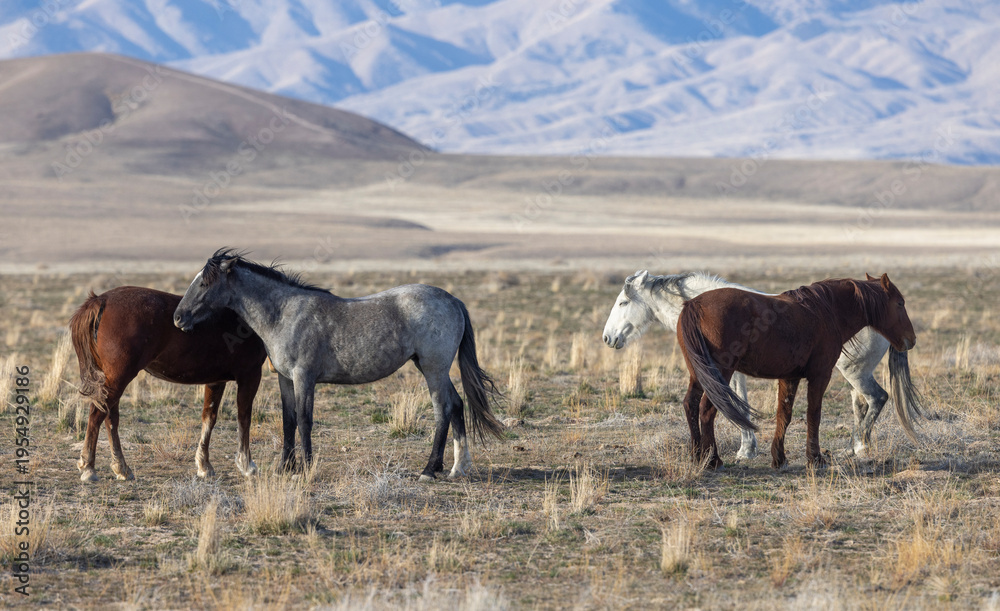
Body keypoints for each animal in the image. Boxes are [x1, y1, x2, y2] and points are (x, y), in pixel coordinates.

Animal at [70, 286, 268, 482]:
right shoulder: (250, 375)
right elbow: (244, 418)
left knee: (110, 419)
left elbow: (209, 418)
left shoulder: (216, 381)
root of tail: (101, 299)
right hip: (118, 379)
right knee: (97, 415)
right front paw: (247, 465)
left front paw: (204, 465)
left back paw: (121, 467)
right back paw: (89, 467)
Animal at [173, 249, 505, 480]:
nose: (178, 317)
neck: (283, 313)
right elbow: (288, 420)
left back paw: (429, 469)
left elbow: (304, 420)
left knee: (443, 411)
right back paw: (458, 467)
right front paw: (285, 468)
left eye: (204, 282)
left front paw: (306, 468)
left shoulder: (304, 377)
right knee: (457, 405)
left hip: (434, 369)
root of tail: (453, 300)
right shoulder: (284, 379)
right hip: (431, 368)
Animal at [602, 270, 923, 458]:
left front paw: (747, 448)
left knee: (876, 398)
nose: (608, 338)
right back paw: (855, 446)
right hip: (854, 373)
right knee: (863, 403)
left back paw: (859, 446)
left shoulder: (732, 373)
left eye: (622, 303)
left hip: (853, 372)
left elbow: (738, 405)